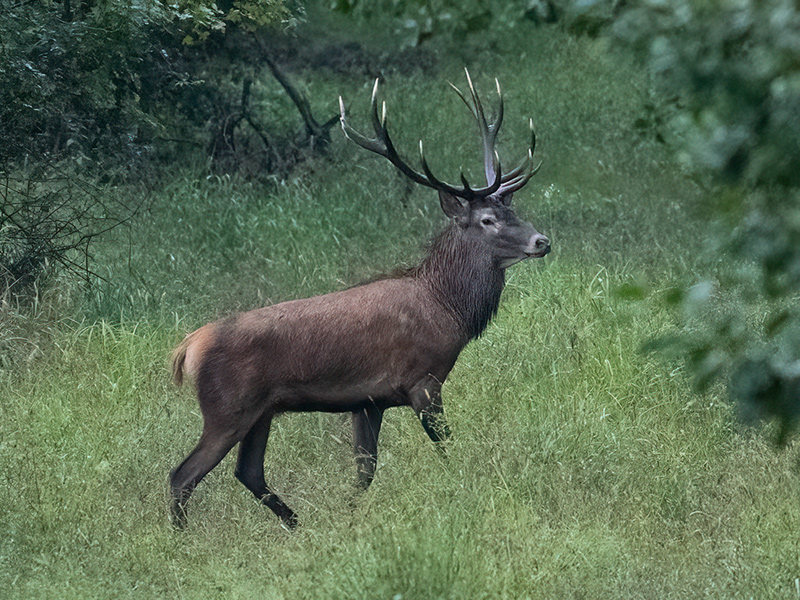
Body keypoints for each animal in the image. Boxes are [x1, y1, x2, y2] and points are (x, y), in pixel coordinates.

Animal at [170, 71, 552, 528]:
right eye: (487, 220)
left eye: (514, 211)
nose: (541, 241)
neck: (448, 309)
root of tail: (188, 347)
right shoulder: (423, 381)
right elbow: (447, 451)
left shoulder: (369, 400)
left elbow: (365, 472)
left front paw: (351, 518)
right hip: (227, 408)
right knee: (183, 475)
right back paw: (183, 537)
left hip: (261, 412)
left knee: (248, 472)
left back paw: (298, 525)